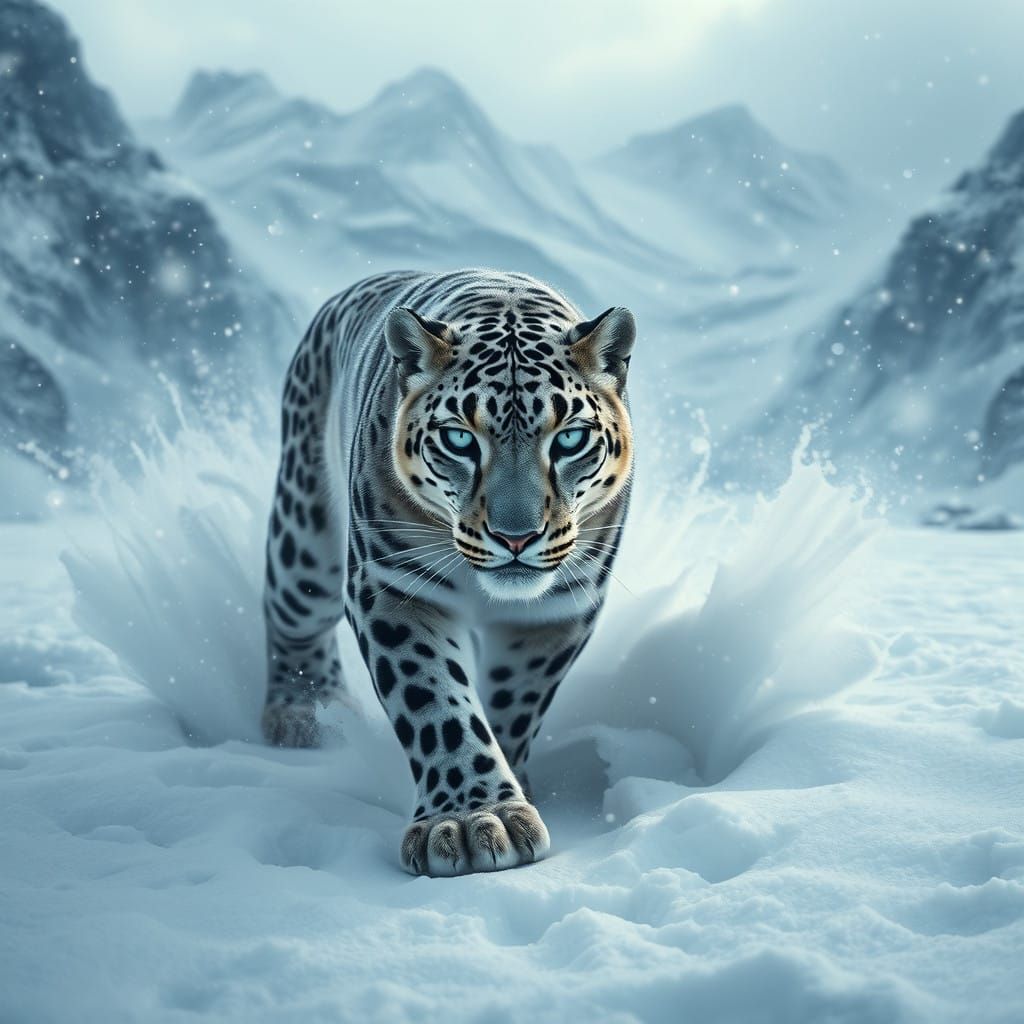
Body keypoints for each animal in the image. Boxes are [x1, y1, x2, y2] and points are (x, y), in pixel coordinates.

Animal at [262, 268, 636, 876]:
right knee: (292, 617)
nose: (516, 537)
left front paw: (510, 786)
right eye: (460, 439)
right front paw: (471, 820)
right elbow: (436, 703)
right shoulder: (394, 586)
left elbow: (515, 704)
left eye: (570, 439)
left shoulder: (562, 606)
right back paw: (304, 715)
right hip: (303, 538)